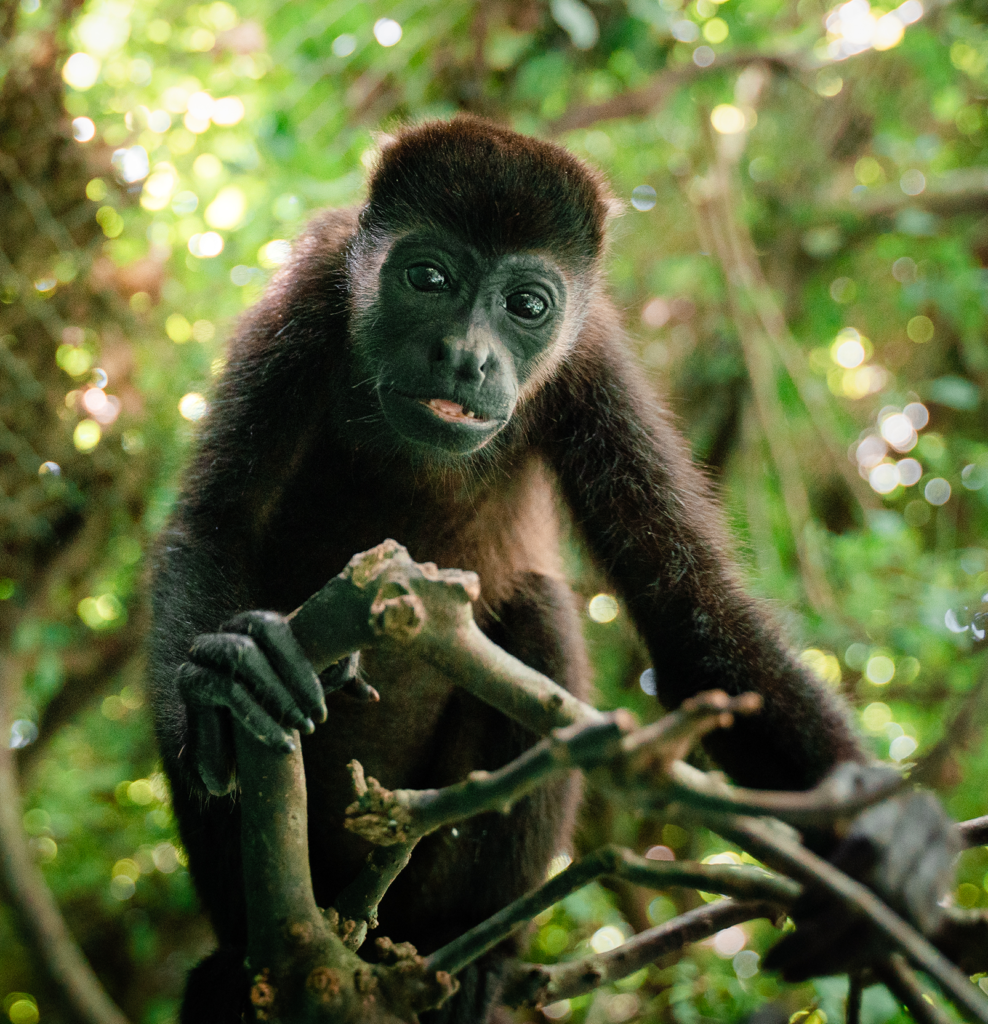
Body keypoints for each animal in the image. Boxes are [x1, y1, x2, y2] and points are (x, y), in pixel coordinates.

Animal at [149, 115, 923, 1022]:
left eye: (526, 306)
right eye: (428, 278)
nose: (464, 356)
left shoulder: (593, 360)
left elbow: (688, 601)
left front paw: (887, 839)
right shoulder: (303, 299)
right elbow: (213, 525)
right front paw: (227, 677)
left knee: (541, 617)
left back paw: (479, 960)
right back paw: (237, 964)